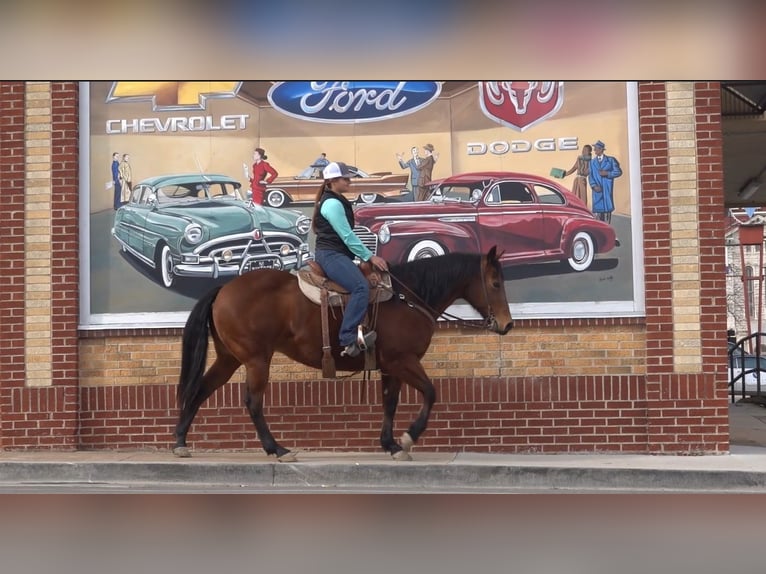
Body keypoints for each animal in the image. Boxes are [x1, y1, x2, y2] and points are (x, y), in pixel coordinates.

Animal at [174, 245, 516, 462]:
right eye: (495, 283)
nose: (507, 324)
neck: (408, 298)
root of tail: (224, 289)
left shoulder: (390, 366)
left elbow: (390, 402)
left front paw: (390, 443)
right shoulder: (403, 360)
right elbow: (431, 393)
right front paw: (409, 437)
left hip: (229, 357)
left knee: (201, 390)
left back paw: (180, 441)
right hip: (257, 359)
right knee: (253, 402)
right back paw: (277, 449)